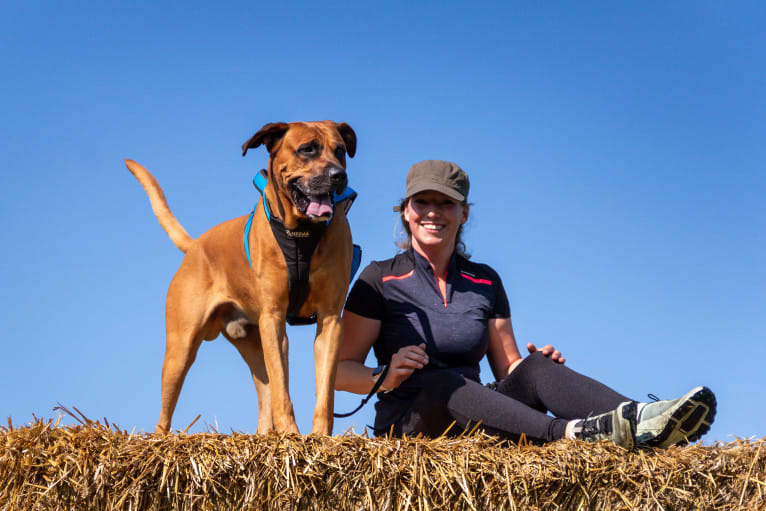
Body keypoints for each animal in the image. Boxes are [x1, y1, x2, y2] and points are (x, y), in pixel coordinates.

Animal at [126, 121, 356, 436]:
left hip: (253, 344)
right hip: (180, 348)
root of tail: (195, 245)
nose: (338, 176)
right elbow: (282, 391)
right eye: (307, 149)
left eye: (340, 151)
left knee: (265, 391)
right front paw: (290, 434)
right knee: (166, 410)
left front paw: (319, 437)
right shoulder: (273, 317)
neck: (301, 233)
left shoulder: (330, 319)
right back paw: (159, 439)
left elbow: (325, 391)